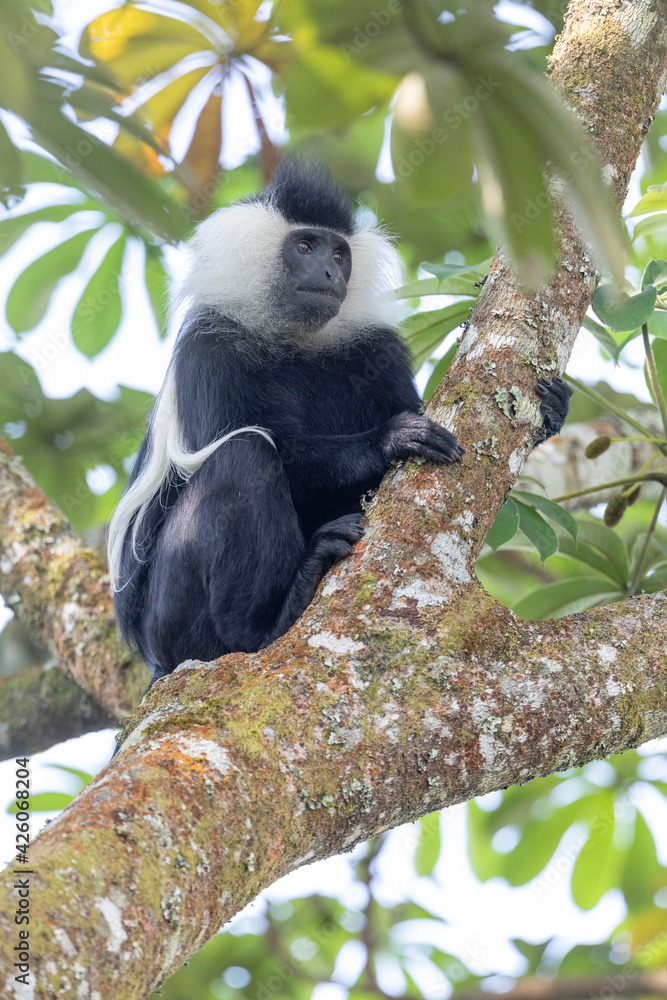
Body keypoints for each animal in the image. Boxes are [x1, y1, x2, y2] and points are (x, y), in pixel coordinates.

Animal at [107, 161, 571, 685]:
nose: (329, 273)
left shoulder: (378, 349)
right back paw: (270, 620)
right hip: (173, 616)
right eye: (305, 248)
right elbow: (256, 449)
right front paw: (390, 438)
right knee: (244, 455)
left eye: (339, 254)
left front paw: (552, 411)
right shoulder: (209, 347)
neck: (295, 343)